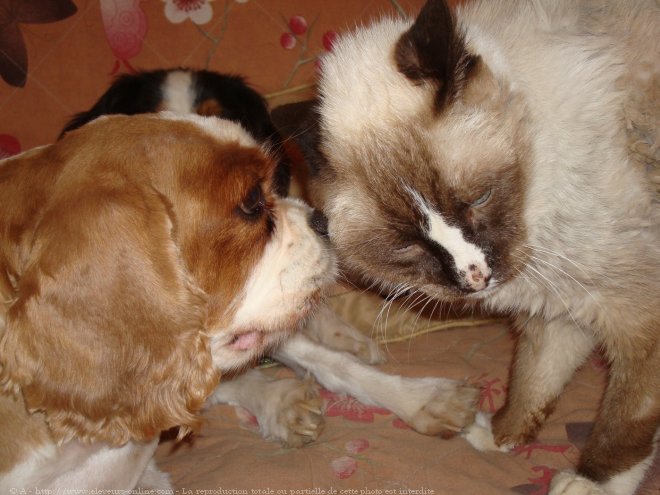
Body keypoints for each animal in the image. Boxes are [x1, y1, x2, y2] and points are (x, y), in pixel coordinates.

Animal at [302, 0, 660, 495]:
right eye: (407, 244)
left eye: (479, 199)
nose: (476, 278)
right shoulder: (562, 308)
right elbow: (533, 383)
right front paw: (499, 436)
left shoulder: (636, 315)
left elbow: (624, 423)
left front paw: (592, 483)